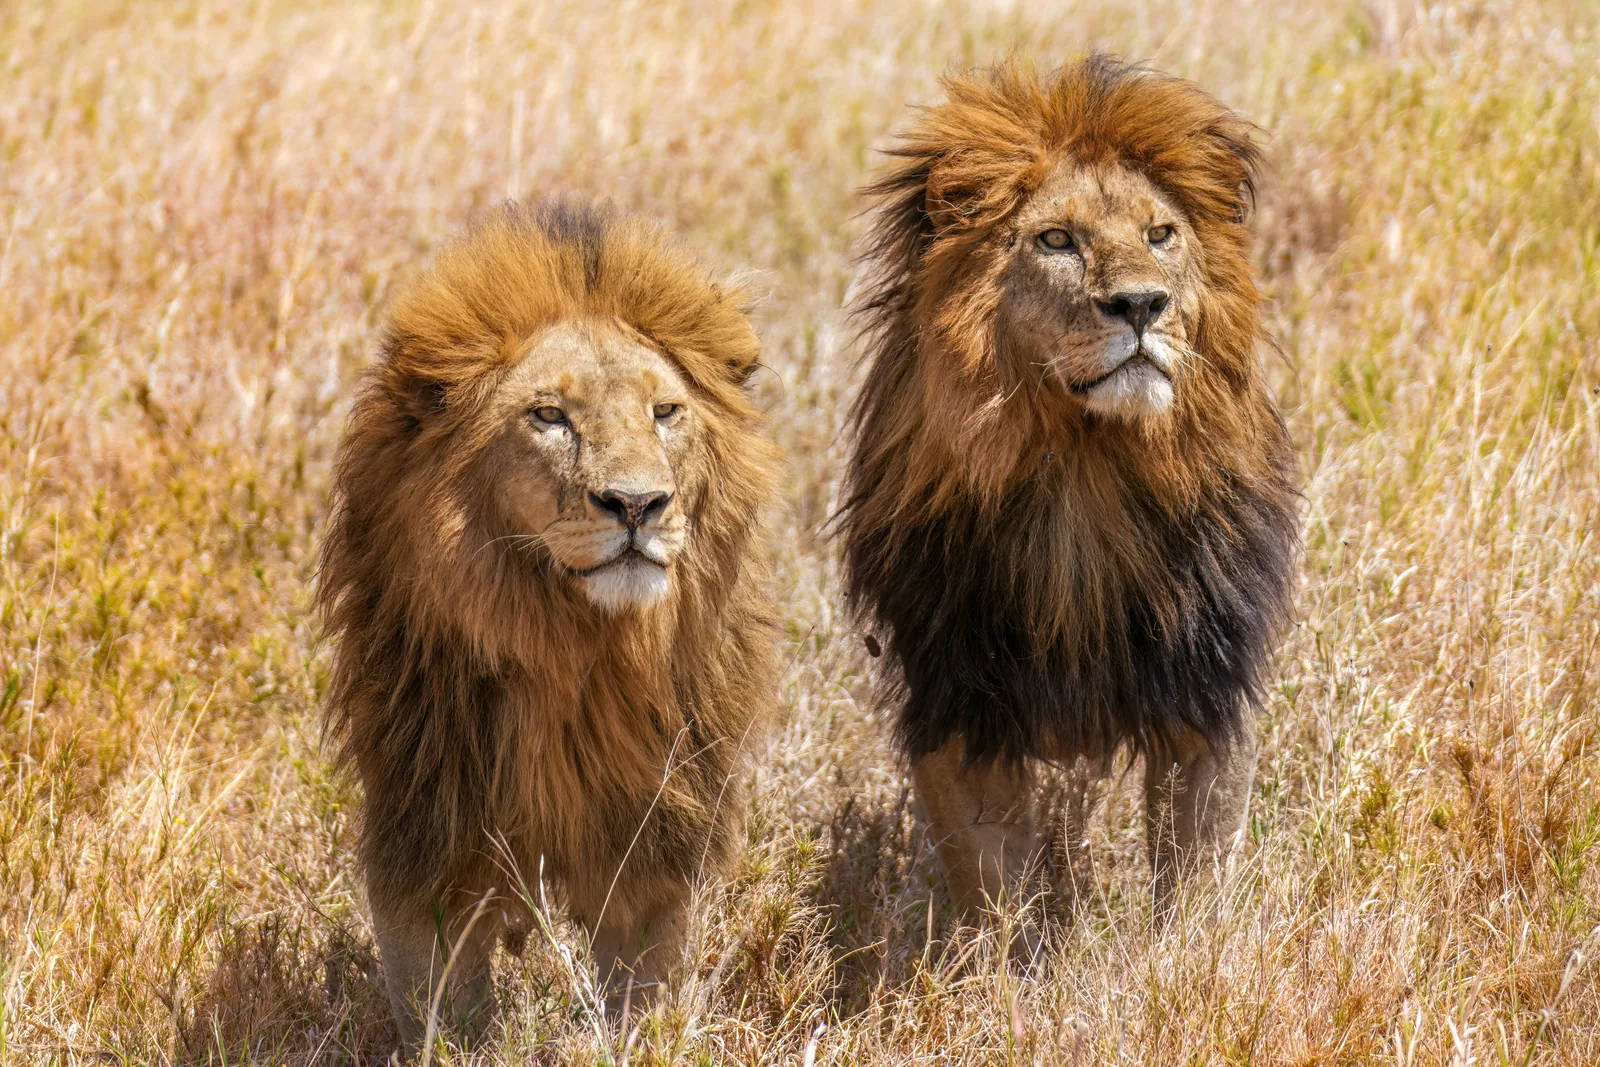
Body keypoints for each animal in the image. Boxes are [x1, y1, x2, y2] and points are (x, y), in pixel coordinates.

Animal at [317, 201, 781, 1051]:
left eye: (665, 412)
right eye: (549, 417)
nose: (637, 503)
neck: (580, 651)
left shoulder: (652, 836)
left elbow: (647, 992)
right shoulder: (429, 826)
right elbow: (441, 1011)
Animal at [838, 57, 1300, 922]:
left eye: (1161, 235)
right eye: (1056, 240)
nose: (1141, 304)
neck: (1088, 473)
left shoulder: (1206, 688)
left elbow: (1196, 876)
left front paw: (1188, 953)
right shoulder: (961, 705)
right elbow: (993, 897)